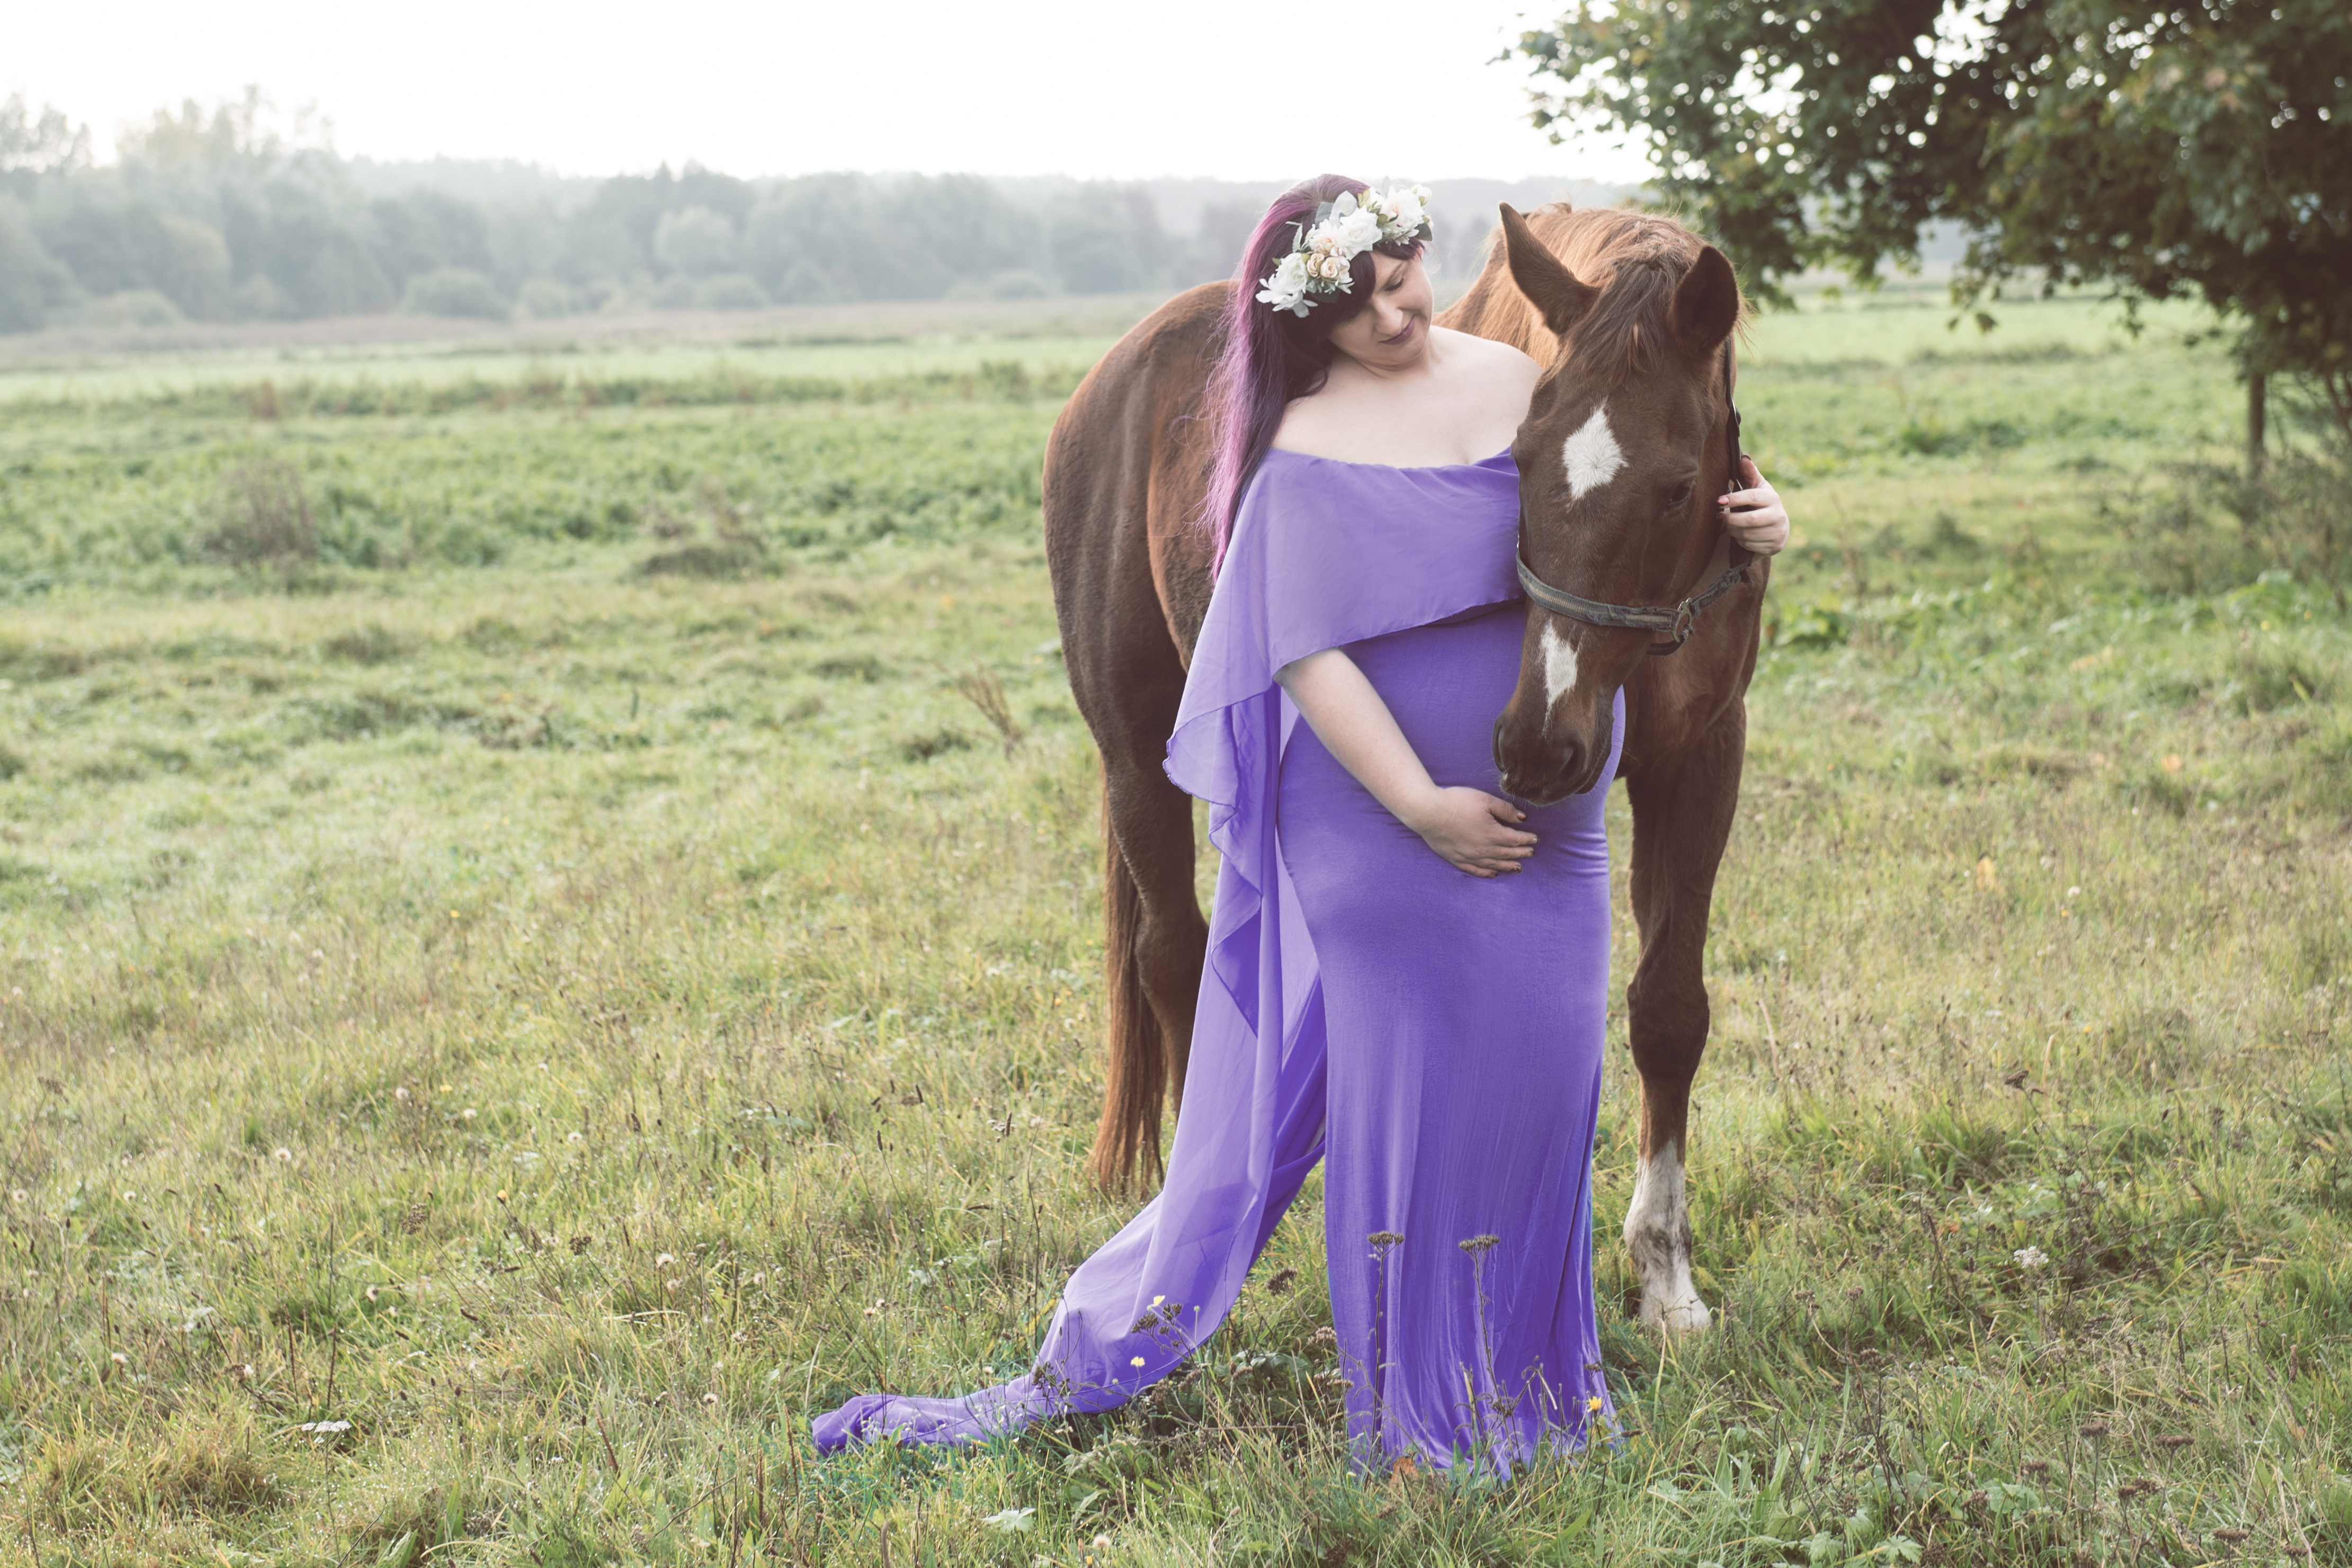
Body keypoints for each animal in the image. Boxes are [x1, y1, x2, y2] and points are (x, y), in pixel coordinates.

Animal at [1044, 202, 1768, 1335]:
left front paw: (1663, 1280)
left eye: (1680, 485)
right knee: (1172, 959)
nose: (1539, 746)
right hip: (1134, 755)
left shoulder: (1700, 760)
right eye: (1519, 460)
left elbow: (1667, 1010)